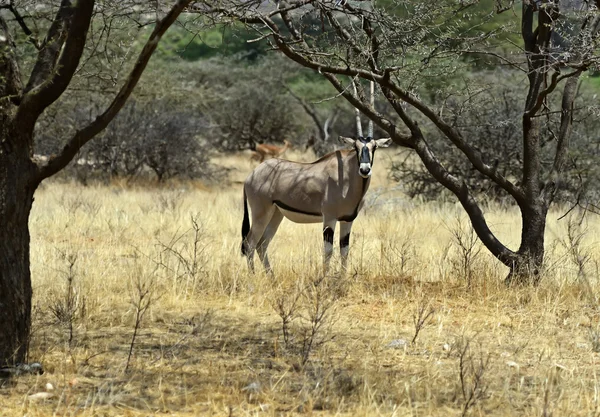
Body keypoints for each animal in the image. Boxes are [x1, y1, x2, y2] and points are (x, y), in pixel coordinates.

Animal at [241, 82, 392, 274]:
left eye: (374, 147)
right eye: (356, 147)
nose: (365, 170)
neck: (347, 177)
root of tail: (251, 175)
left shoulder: (347, 220)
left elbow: (344, 251)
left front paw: (342, 278)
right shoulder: (329, 218)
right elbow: (328, 252)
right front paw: (324, 278)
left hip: (276, 213)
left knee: (261, 245)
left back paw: (271, 277)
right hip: (261, 212)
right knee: (250, 243)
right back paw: (253, 277)